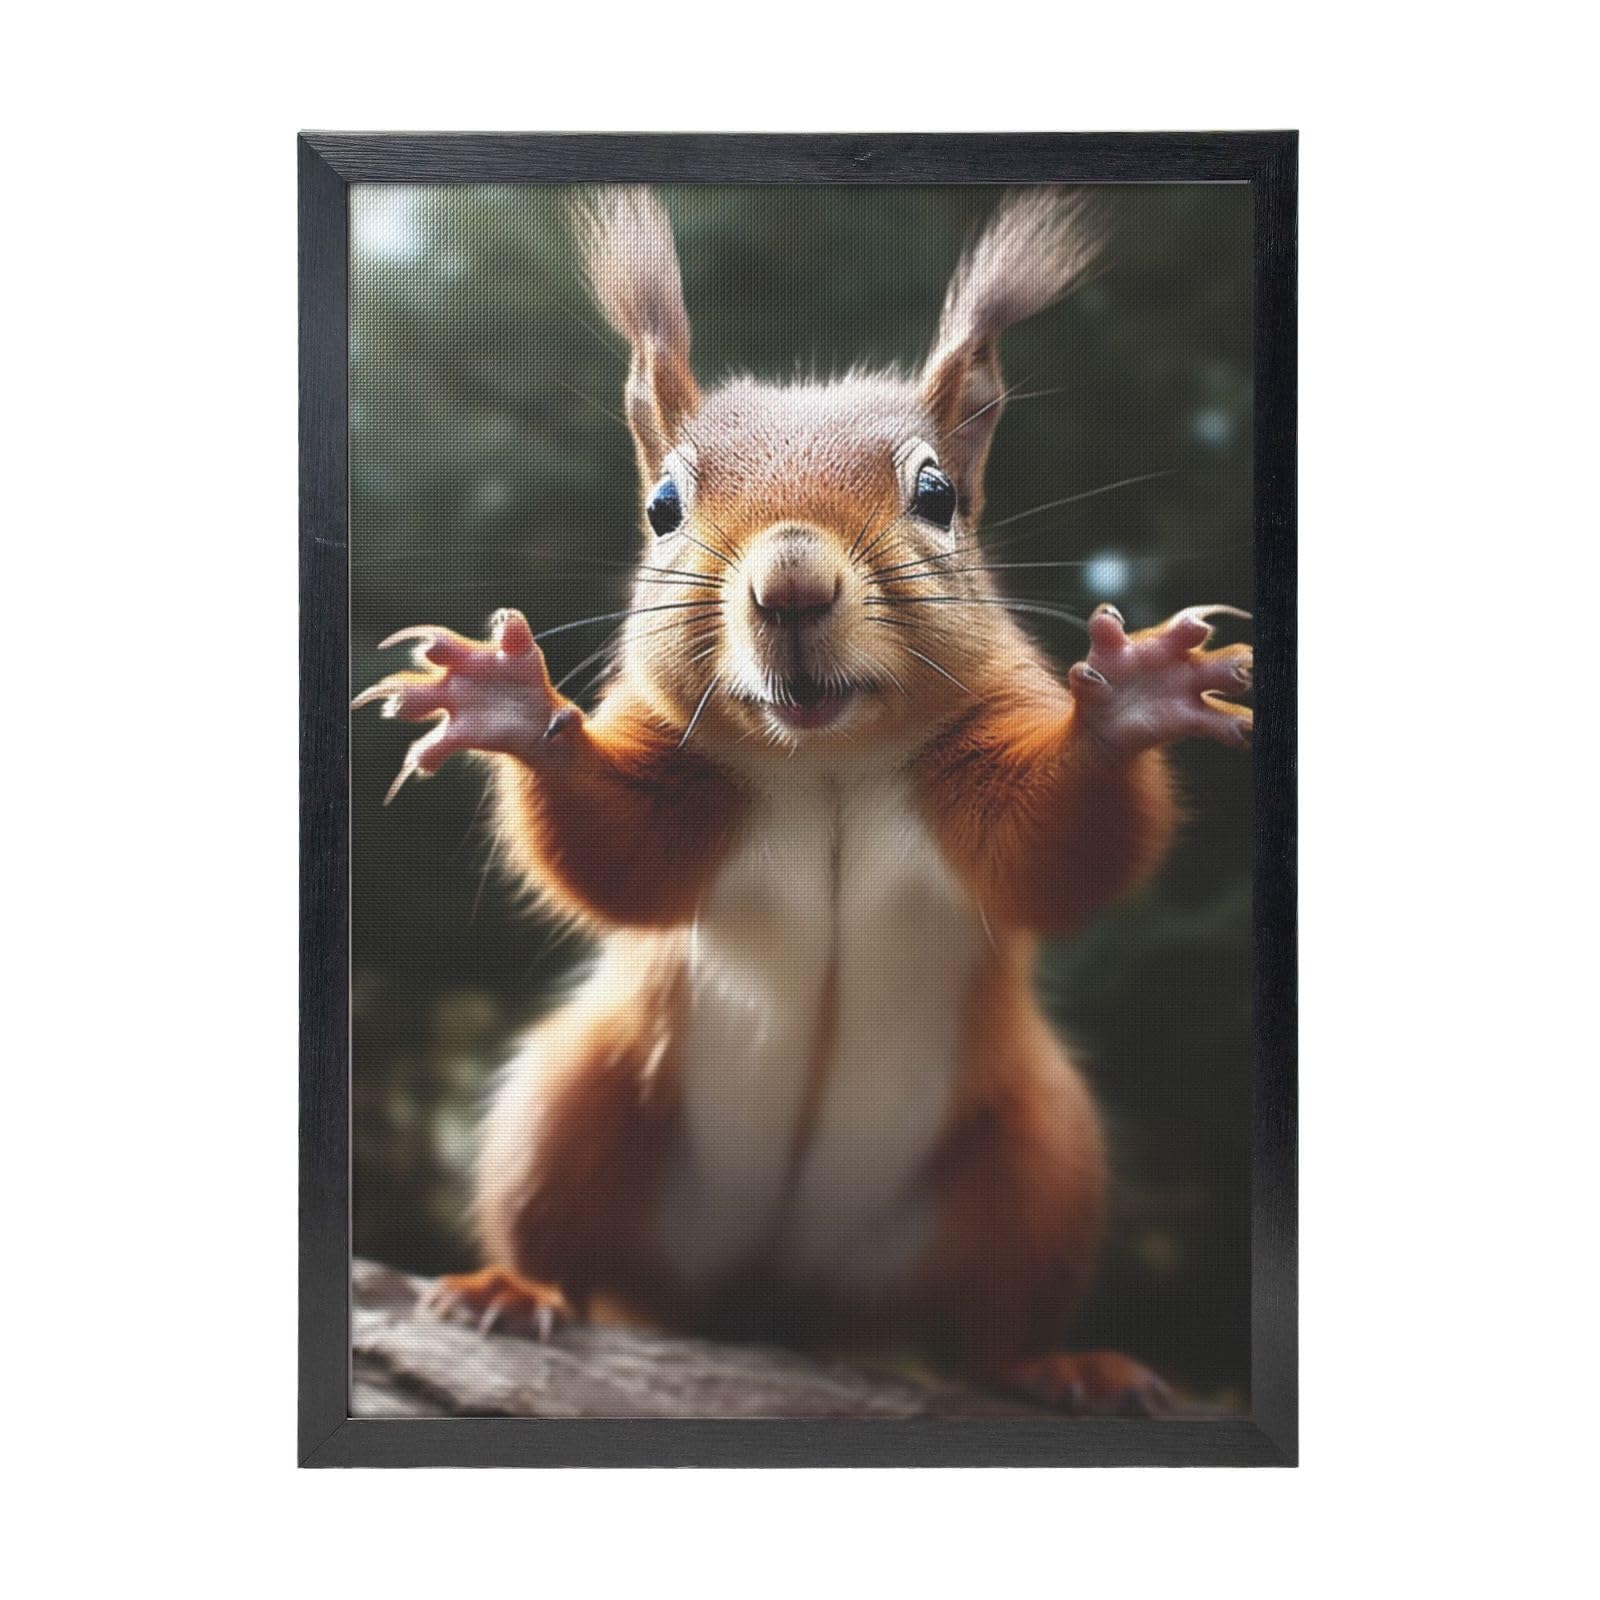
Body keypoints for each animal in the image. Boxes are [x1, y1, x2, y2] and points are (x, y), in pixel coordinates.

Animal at [354, 187, 1253, 1414]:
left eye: (937, 495)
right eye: (663, 506)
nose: (790, 583)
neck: (821, 761)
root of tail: (780, 1297)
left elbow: (1059, 849)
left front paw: (1131, 698)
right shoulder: (684, 783)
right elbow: (614, 853)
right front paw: (508, 702)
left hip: (1038, 1160)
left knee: (998, 1321)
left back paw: (1061, 1364)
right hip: (575, 1104)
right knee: (558, 1238)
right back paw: (509, 1289)